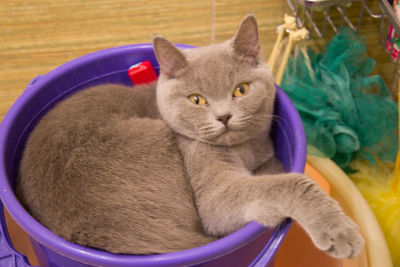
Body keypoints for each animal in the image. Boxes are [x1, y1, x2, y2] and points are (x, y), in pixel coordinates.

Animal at [17, 14, 364, 260]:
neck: (246, 149)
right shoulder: (212, 194)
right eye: (197, 99)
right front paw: (341, 232)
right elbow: (290, 182)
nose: (224, 117)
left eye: (241, 90)